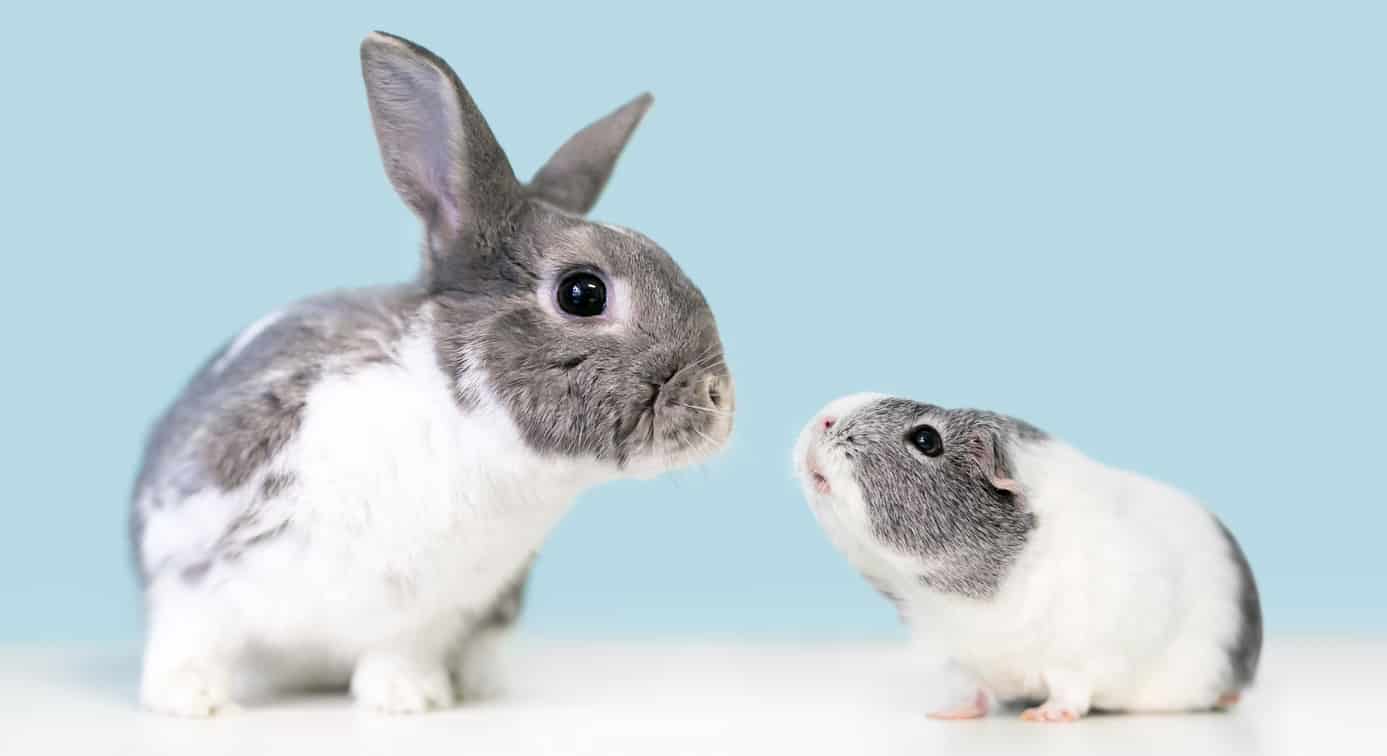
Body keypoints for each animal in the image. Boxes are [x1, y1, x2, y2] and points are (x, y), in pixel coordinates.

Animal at [130, 31, 734, 717]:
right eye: (583, 293)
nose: (719, 400)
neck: (472, 432)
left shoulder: (430, 613)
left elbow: (397, 652)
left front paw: (407, 697)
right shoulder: (189, 565)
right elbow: (189, 635)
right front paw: (189, 699)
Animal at [793, 394, 1260, 722]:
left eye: (926, 439)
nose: (823, 419)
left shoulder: (1079, 658)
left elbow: (1070, 692)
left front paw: (1043, 716)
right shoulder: (958, 659)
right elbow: (971, 692)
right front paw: (947, 714)